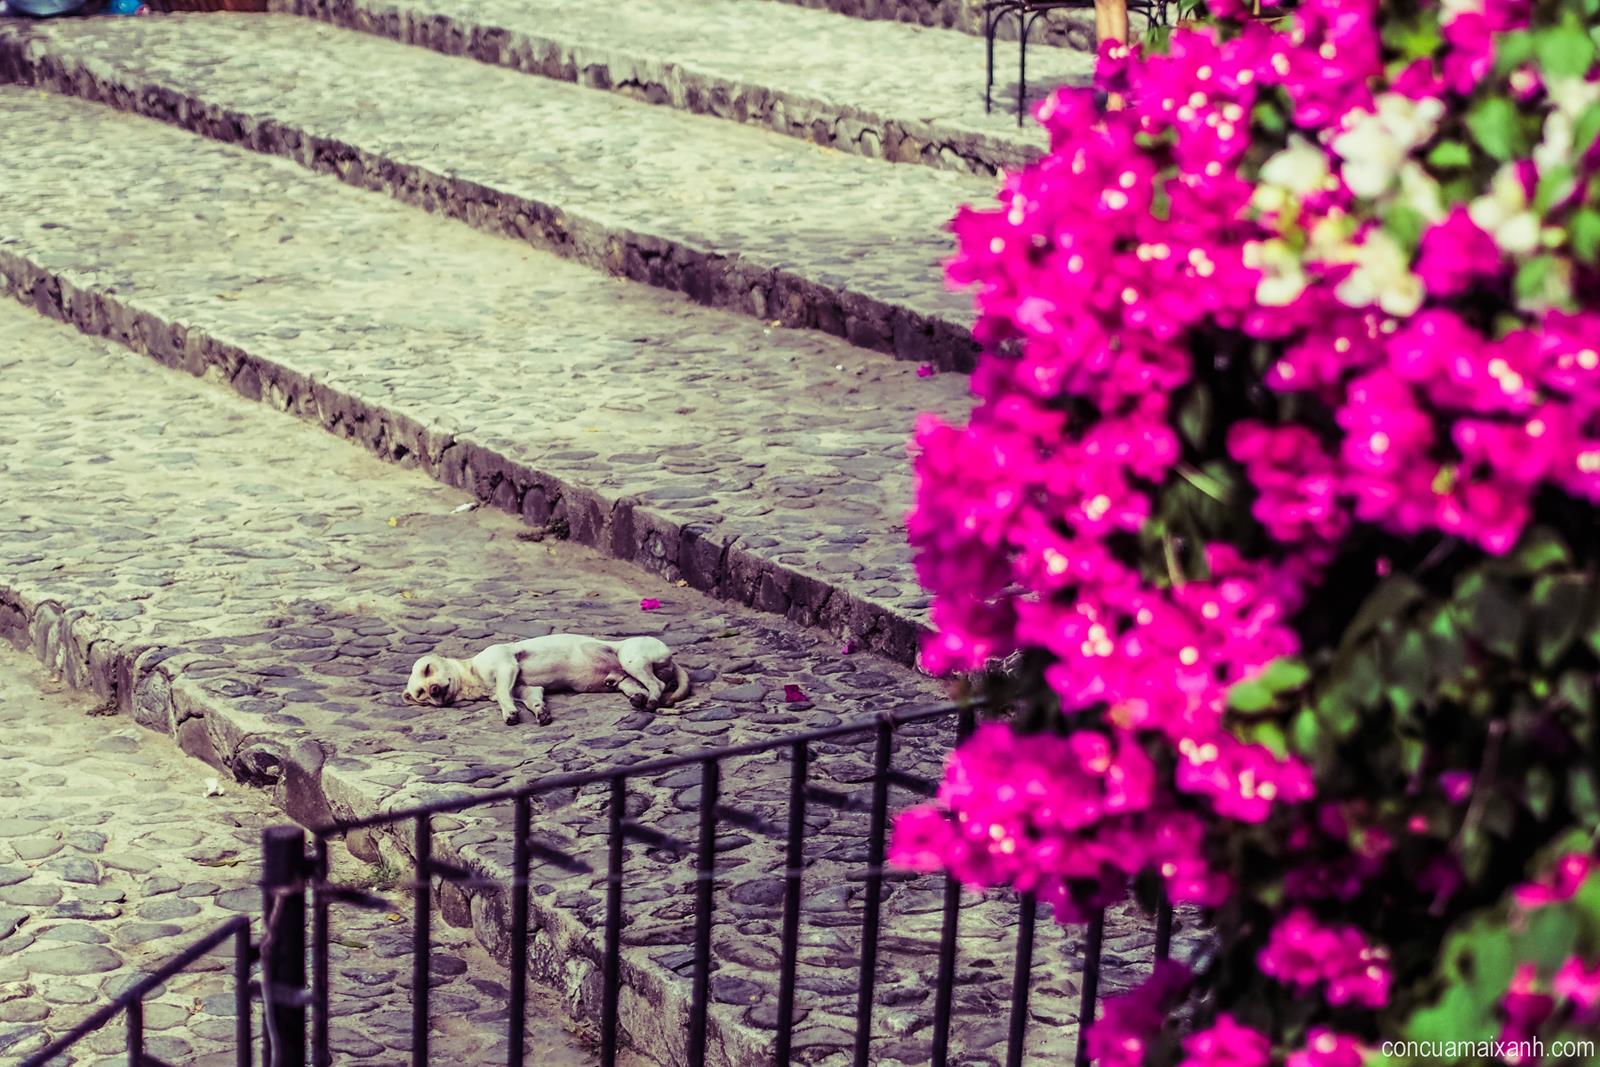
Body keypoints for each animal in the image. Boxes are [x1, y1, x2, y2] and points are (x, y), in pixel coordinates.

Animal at [403, 634, 691, 725]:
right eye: (420, 694)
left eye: (428, 669)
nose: (434, 689)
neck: (472, 674)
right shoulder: (528, 689)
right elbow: (532, 701)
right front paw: (540, 712)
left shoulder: (507, 667)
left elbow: (504, 696)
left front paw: (509, 713)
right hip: (622, 676)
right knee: (634, 687)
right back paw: (639, 698)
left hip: (631, 659)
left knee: (658, 685)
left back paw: (651, 700)